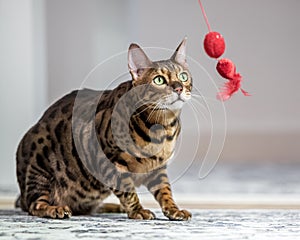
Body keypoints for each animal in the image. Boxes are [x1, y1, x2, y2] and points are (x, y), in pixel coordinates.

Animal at [16, 38, 193, 220]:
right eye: (159, 80)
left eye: (183, 76)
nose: (179, 88)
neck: (163, 129)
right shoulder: (110, 161)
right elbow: (128, 191)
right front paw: (138, 210)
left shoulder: (158, 168)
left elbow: (165, 191)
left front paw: (174, 209)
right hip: (39, 168)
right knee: (34, 205)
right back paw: (55, 209)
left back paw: (113, 207)